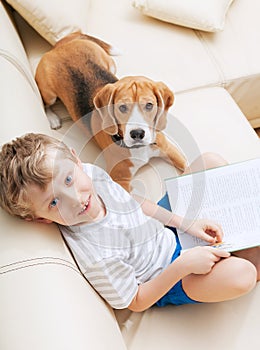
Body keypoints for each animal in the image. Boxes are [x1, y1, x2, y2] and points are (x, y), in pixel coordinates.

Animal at [35, 32, 186, 191]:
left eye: (149, 105)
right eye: (122, 107)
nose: (137, 134)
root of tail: (61, 46)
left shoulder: (171, 150)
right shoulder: (120, 179)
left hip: (111, 65)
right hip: (49, 94)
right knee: (45, 103)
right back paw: (53, 118)